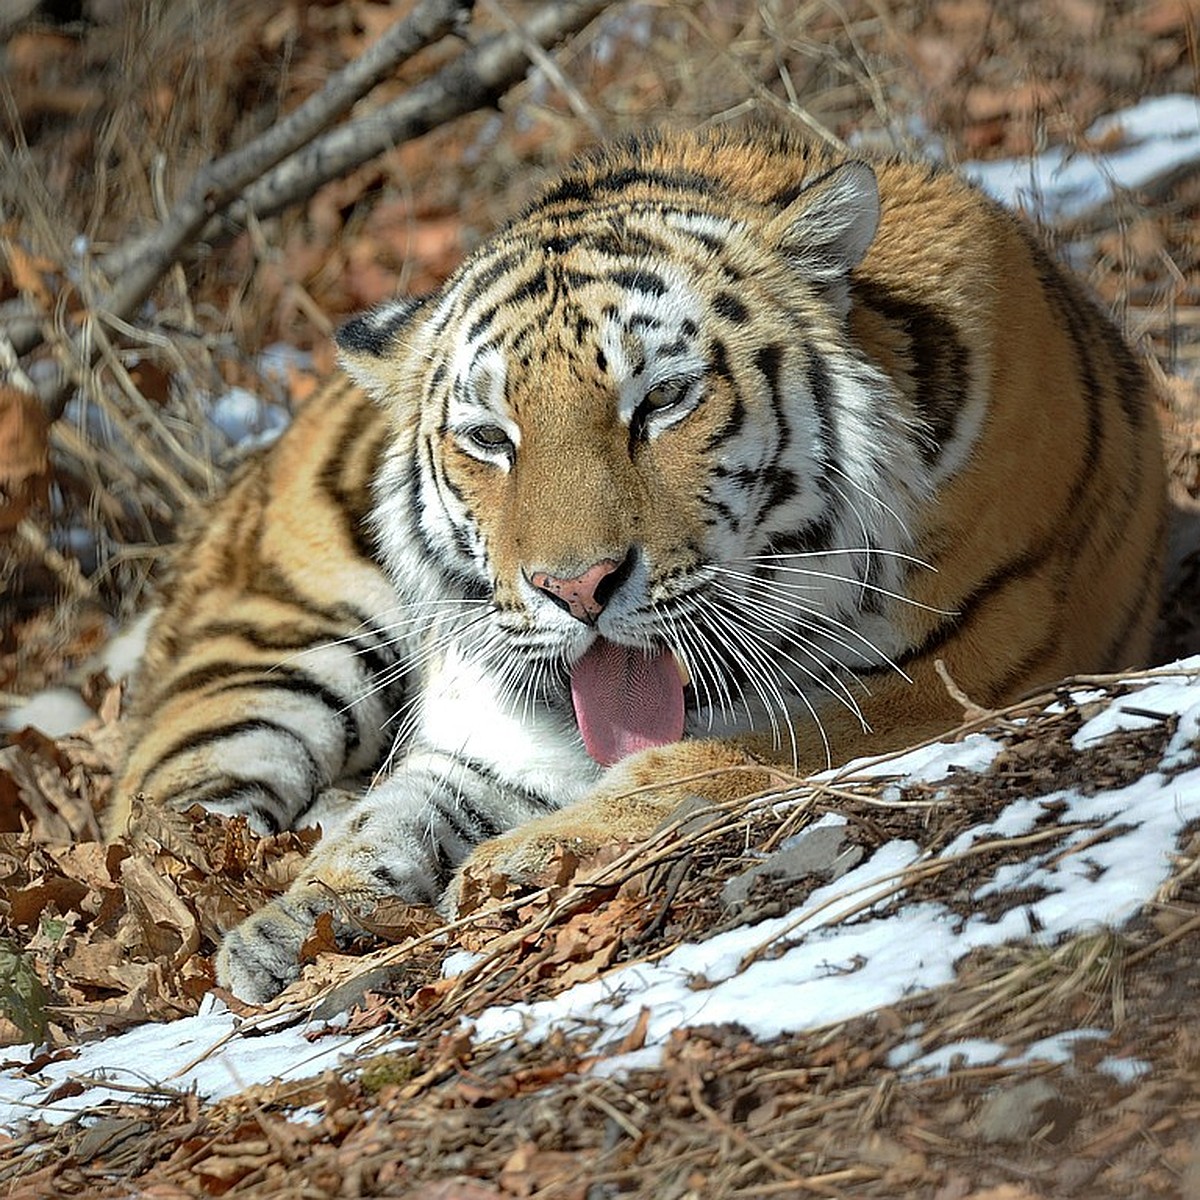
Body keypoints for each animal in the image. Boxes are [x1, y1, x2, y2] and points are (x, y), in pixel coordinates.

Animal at [108, 126, 1166, 1003]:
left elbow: (711, 759)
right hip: (275, 656)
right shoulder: (492, 722)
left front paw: (521, 861)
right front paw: (297, 922)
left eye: (660, 402)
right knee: (157, 832)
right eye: (490, 439)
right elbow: (398, 814)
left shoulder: (934, 684)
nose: (575, 589)